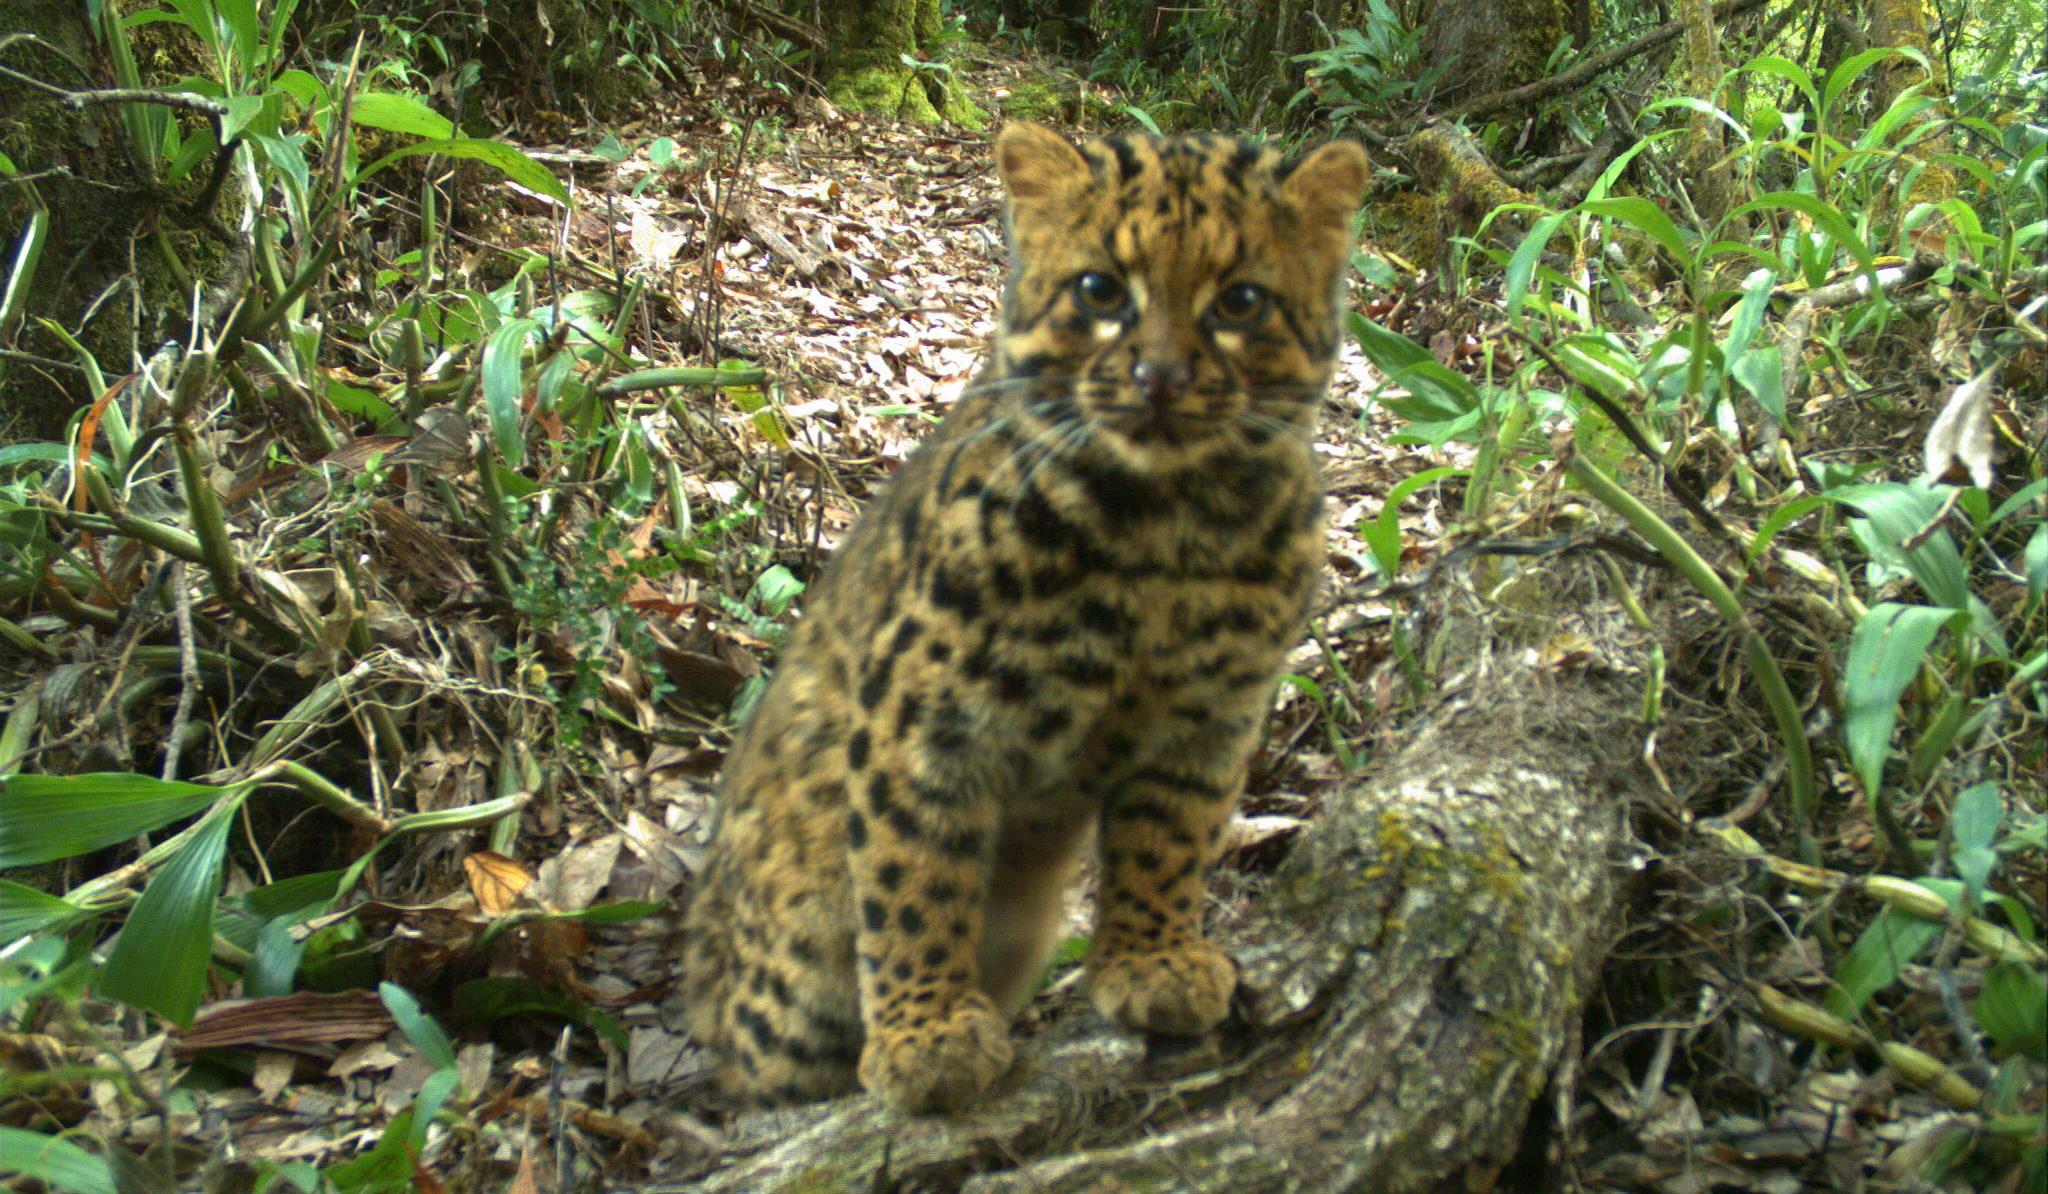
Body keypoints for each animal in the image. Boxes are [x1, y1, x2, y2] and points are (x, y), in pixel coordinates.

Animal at [679, 121, 1368, 1114]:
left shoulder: (1209, 720)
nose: (1161, 378)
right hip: (791, 976)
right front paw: (926, 1037)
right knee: (755, 1065)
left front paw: (1155, 962)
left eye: (1242, 301)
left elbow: (1169, 844)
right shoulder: (925, 724)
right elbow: (916, 882)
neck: (1163, 536)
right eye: (1100, 291)